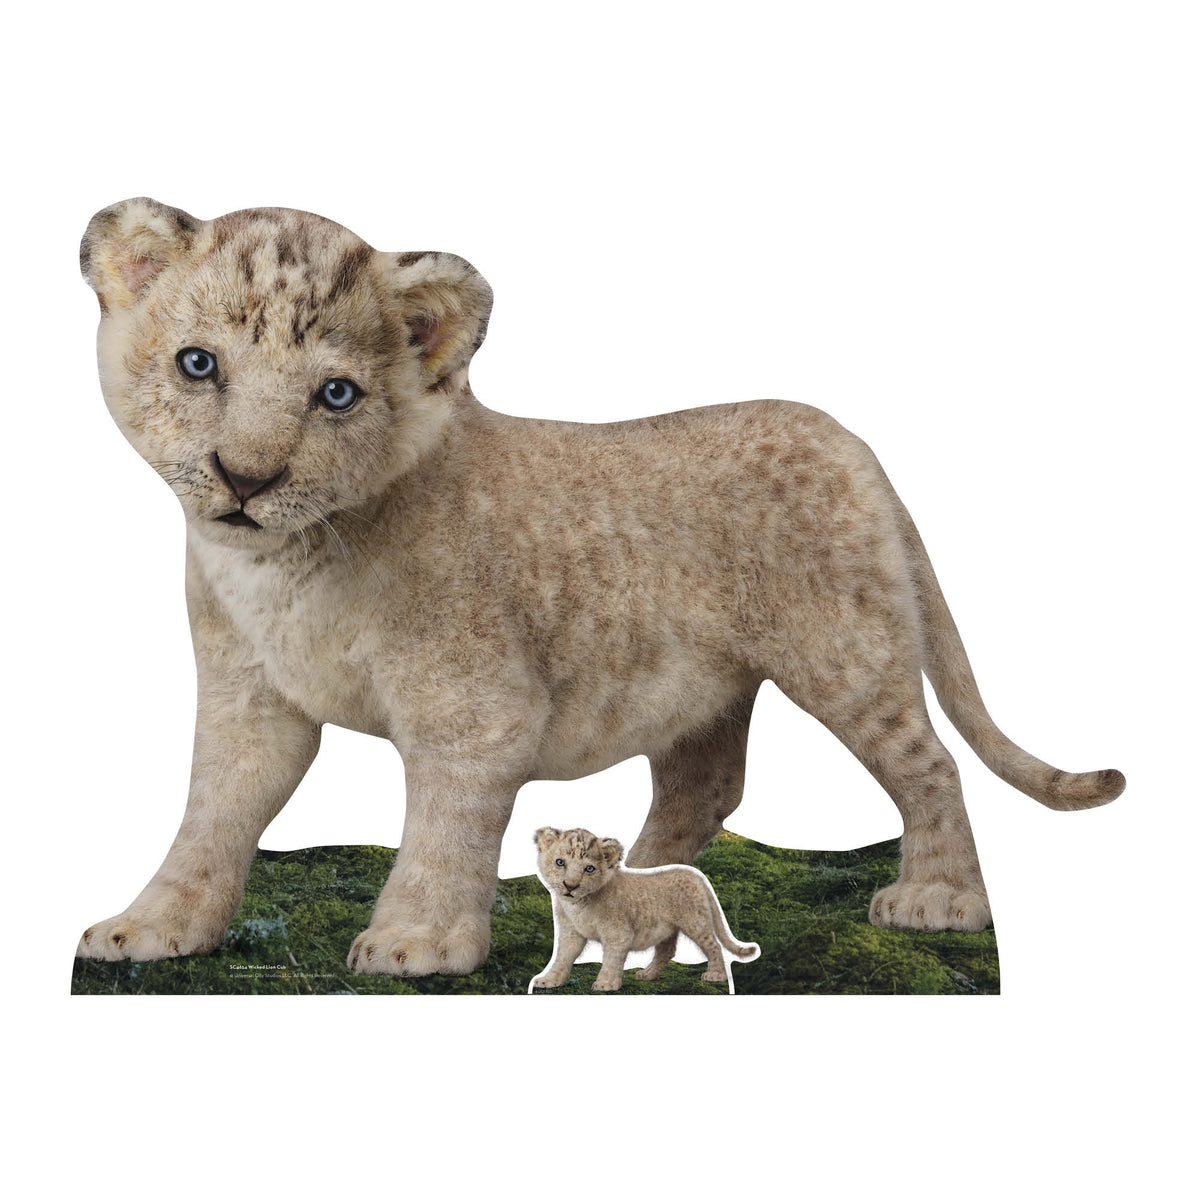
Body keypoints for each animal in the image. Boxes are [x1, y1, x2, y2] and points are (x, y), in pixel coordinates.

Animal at [75, 198, 1123, 977]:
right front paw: (148, 927)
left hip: (847, 651)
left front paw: (416, 941)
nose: (245, 480)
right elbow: (214, 812)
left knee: (928, 763)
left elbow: (444, 825)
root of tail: (853, 443)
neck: (283, 567)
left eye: (336, 394)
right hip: (707, 686)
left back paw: (937, 900)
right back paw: (639, 881)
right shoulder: (247, 696)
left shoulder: (475, 710)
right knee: (707, 784)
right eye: (198, 364)